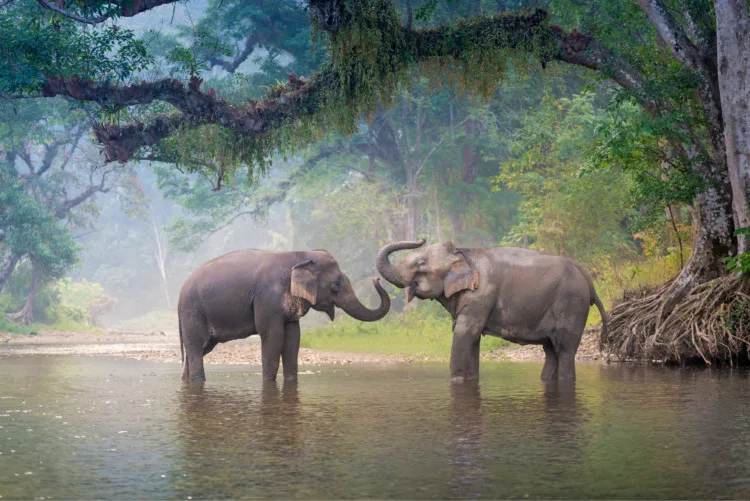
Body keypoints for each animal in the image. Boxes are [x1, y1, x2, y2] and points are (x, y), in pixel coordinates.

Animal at [179, 248, 390, 380]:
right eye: (336, 285)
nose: (376, 279)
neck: (298, 255)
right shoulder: (267, 298)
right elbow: (272, 335)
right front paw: (268, 382)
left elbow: (293, 337)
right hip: (193, 312)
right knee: (196, 347)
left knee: (199, 349)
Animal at [378, 240, 608, 380]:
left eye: (421, 264)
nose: (421, 238)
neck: (463, 253)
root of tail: (587, 277)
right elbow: (472, 339)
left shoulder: (481, 294)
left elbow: (464, 334)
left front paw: (456, 380)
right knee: (550, 350)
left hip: (572, 305)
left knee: (565, 350)